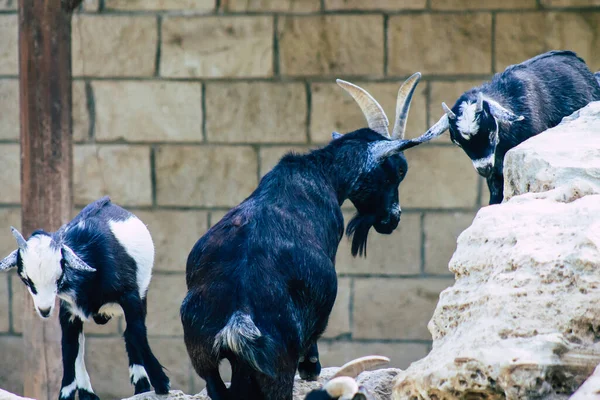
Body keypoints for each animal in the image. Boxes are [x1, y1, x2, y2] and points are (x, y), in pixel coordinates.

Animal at [0, 197, 170, 400]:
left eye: (58, 276)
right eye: (26, 280)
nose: (44, 310)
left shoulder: (130, 296)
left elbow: (135, 332)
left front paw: (161, 382)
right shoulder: (68, 310)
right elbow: (69, 347)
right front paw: (65, 394)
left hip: (141, 293)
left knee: (130, 332)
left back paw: (141, 386)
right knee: (80, 345)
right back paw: (87, 393)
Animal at [178, 72, 432, 400]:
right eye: (398, 170)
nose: (393, 219)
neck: (320, 173)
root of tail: (238, 315)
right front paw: (312, 366)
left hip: (203, 355)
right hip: (277, 364)